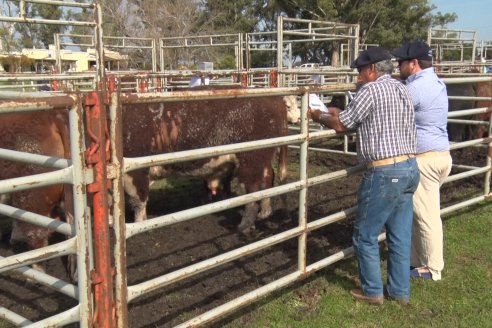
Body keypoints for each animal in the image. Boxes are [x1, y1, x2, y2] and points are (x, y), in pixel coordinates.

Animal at [122, 91, 300, 232]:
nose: (297, 118)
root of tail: (274, 100)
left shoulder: (135, 173)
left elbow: (138, 202)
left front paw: (139, 226)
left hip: (251, 160)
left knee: (253, 191)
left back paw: (246, 225)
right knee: (266, 180)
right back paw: (264, 211)